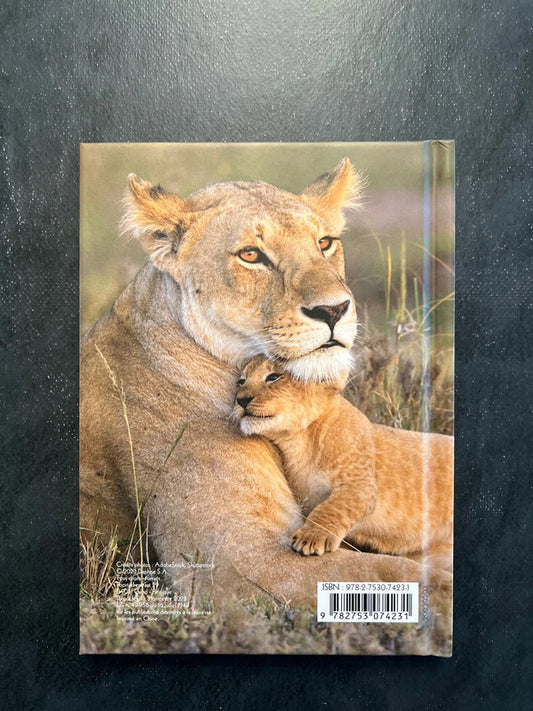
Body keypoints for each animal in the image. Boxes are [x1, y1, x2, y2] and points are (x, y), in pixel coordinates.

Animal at [233, 356, 453, 567]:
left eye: (274, 377)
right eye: (241, 381)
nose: (240, 400)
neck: (298, 442)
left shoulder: (360, 484)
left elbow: (333, 507)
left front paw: (310, 538)